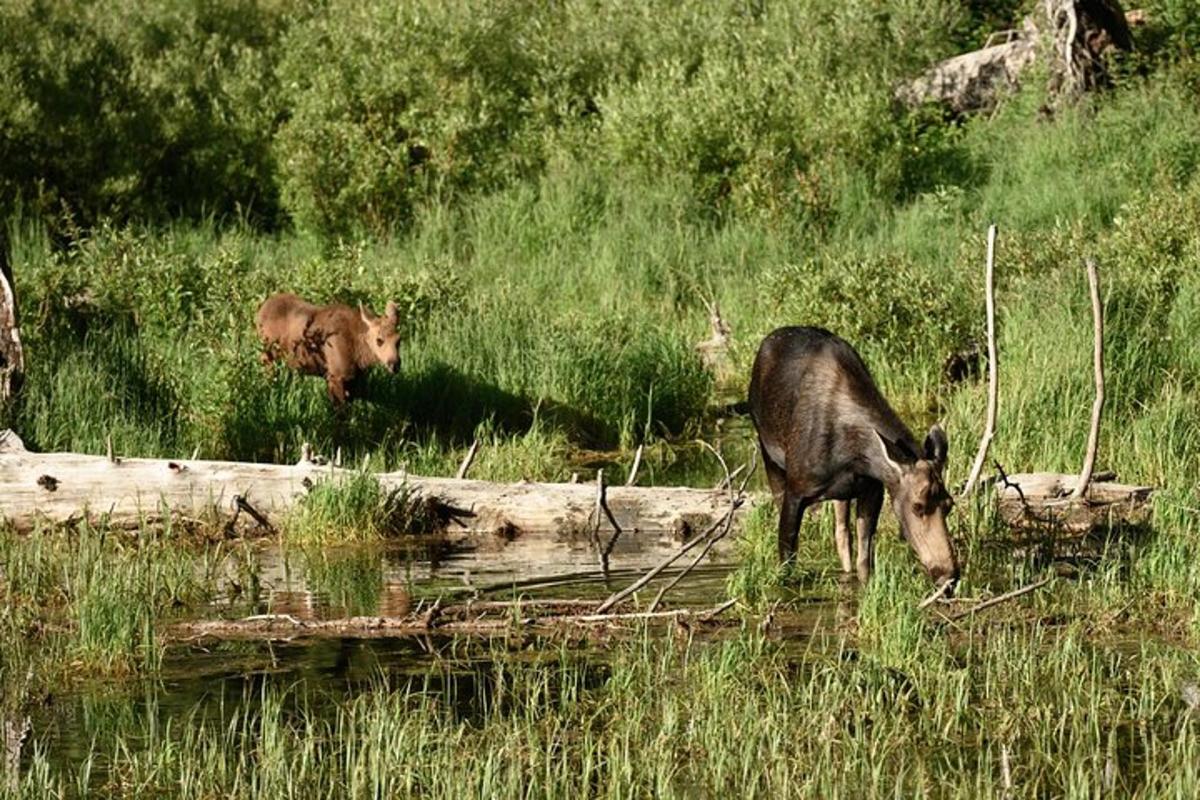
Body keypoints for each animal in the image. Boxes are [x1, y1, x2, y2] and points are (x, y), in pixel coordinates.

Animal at [255, 292, 400, 407]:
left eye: (399, 340)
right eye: (379, 340)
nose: (395, 365)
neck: (359, 355)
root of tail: (260, 310)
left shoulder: (353, 378)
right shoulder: (335, 375)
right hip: (267, 356)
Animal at [744, 323, 960, 587]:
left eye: (949, 504)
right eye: (917, 506)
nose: (949, 576)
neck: (854, 458)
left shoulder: (872, 490)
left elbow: (864, 562)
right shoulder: (796, 492)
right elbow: (786, 561)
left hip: (842, 494)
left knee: (841, 532)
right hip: (769, 454)